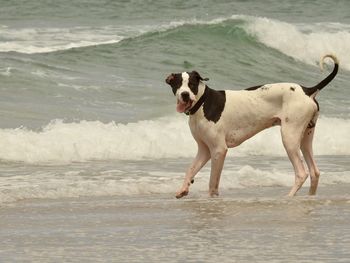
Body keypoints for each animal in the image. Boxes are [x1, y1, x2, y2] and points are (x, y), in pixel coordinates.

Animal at [166, 55, 340, 200]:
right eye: (177, 85)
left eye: (192, 85)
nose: (184, 95)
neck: (202, 102)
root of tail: (307, 90)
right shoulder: (205, 150)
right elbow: (190, 169)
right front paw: (183, 189)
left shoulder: (218, 150)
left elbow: (212, 182)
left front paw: (212, 199)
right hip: (305, 139)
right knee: (314, 172)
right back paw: (310, 197)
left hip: (289, 138)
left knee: (301, 173)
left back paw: (289, 197)